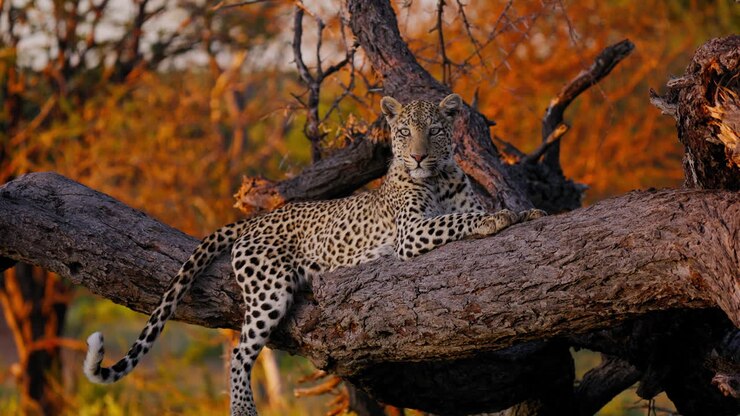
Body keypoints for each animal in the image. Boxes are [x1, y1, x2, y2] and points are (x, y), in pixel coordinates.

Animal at [82, 93, 546, 416]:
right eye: (403, 132)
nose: (417, 157)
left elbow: (471, 212)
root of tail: (259, 218)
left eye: (434, 130)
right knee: (240, 352)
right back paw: (243, 408)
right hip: (269, 290)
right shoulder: (410, 234)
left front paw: (529, 211)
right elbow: (456, 220)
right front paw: (497, 219)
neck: (441, 177)